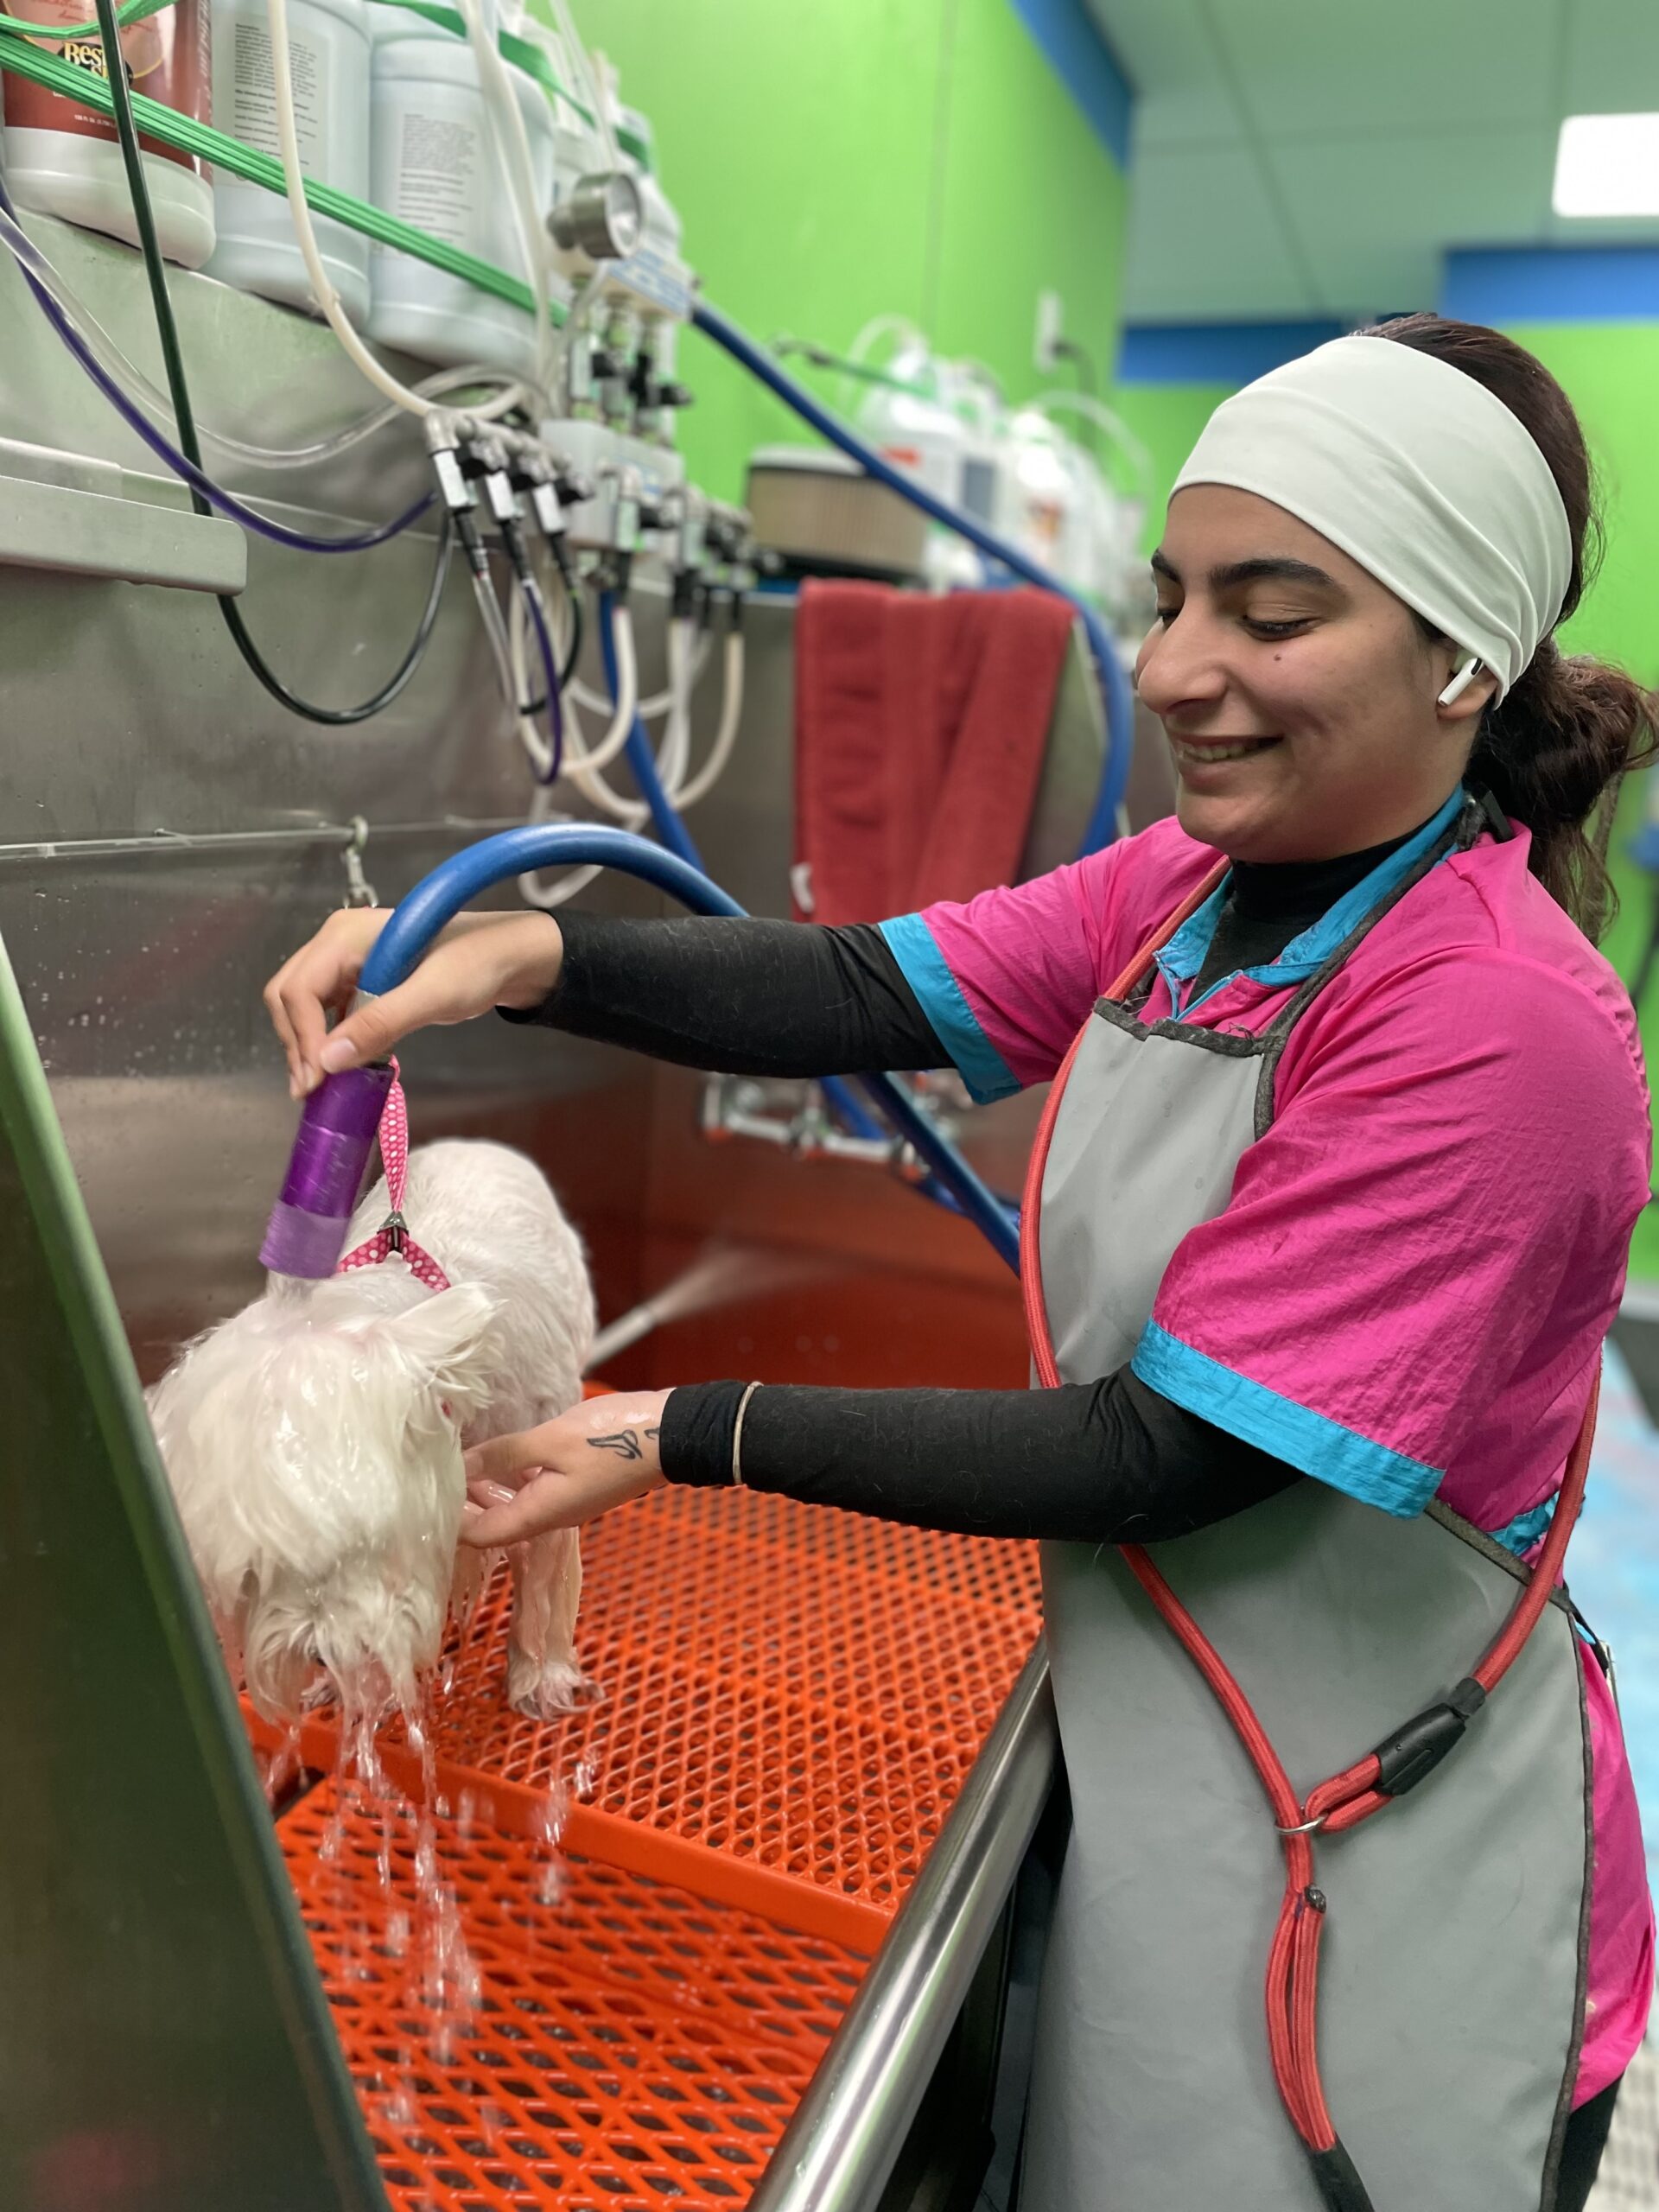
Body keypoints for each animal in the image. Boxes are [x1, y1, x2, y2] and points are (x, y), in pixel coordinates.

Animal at [145, 1141, 593, 1725]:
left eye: (369, 1542)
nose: (319, 1650)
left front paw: (541, 1675)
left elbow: (545, 1575)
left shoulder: (540, 1461)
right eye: (253, 1574)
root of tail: (476, 1144)